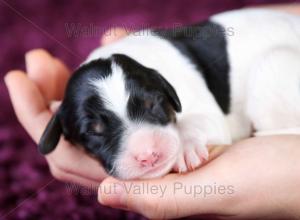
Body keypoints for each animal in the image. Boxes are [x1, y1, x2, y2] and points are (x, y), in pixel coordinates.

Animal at [38, 9, 300, 180]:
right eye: (94, 130)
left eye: (153, 105)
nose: (148, 155)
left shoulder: (204, 109)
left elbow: (199, 120)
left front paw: (185, 147)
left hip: (272, 65)